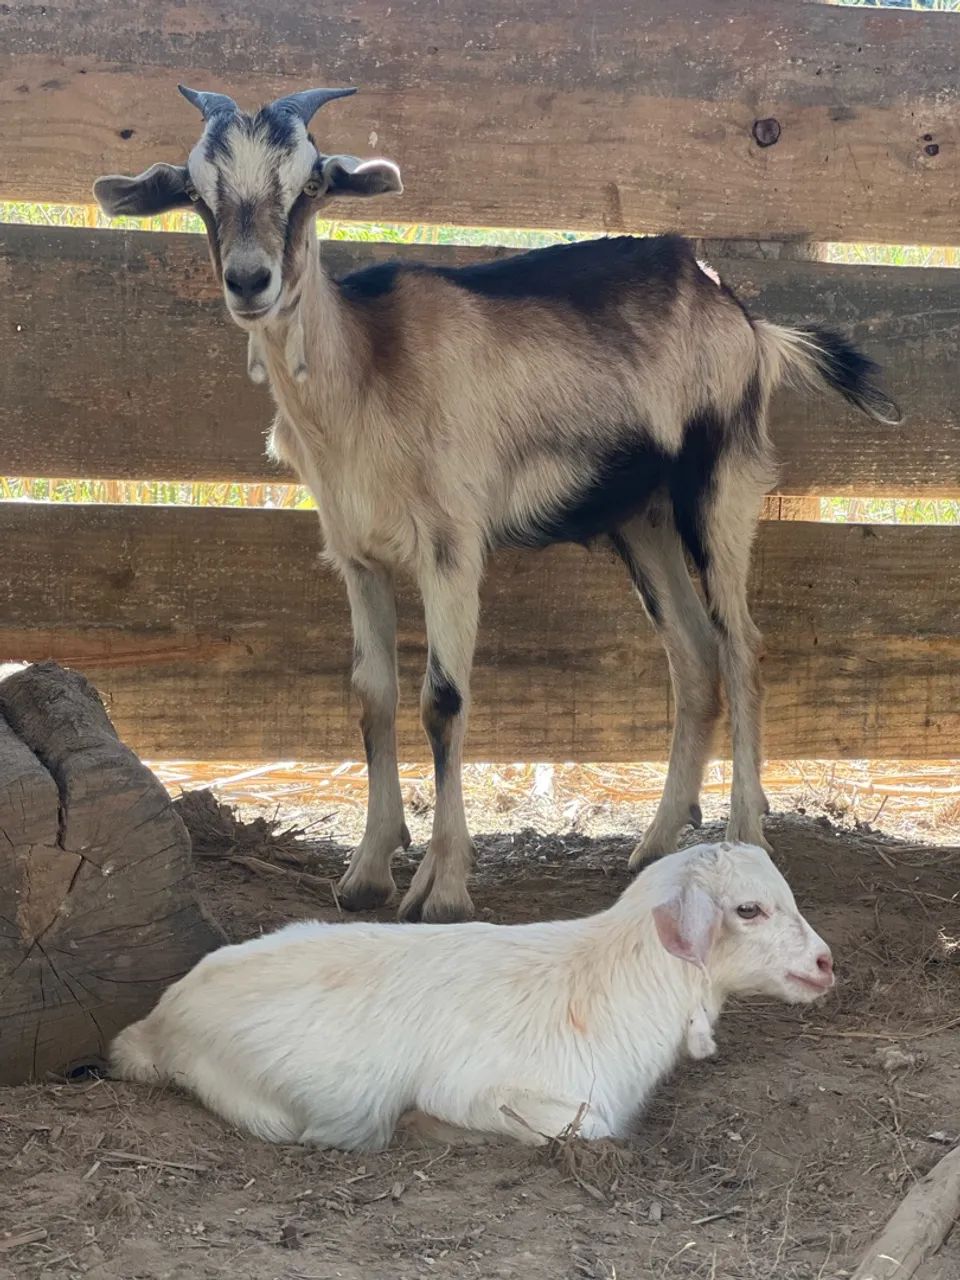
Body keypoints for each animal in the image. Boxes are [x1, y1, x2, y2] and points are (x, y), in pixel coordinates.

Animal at [94, 86, 901, 924]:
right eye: (197, 193)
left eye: (312, 182)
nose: (250, 281)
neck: (366, 374)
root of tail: (744, 317)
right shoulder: (357, 557)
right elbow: (372, 697)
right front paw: (368, 873)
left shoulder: (452, 549)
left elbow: (442, 701)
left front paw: (443, 887)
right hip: (639, 520)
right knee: (694, 657)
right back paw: (651, 846)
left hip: (719, 488)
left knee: (742, 649)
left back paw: (745, 838)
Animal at [109, 840, 834, 1150]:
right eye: (749, 910)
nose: (826, 963)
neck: (608, 982)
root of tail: (155, 1023)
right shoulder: (493, 1092)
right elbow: (585, 1127)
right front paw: (424, 1125)